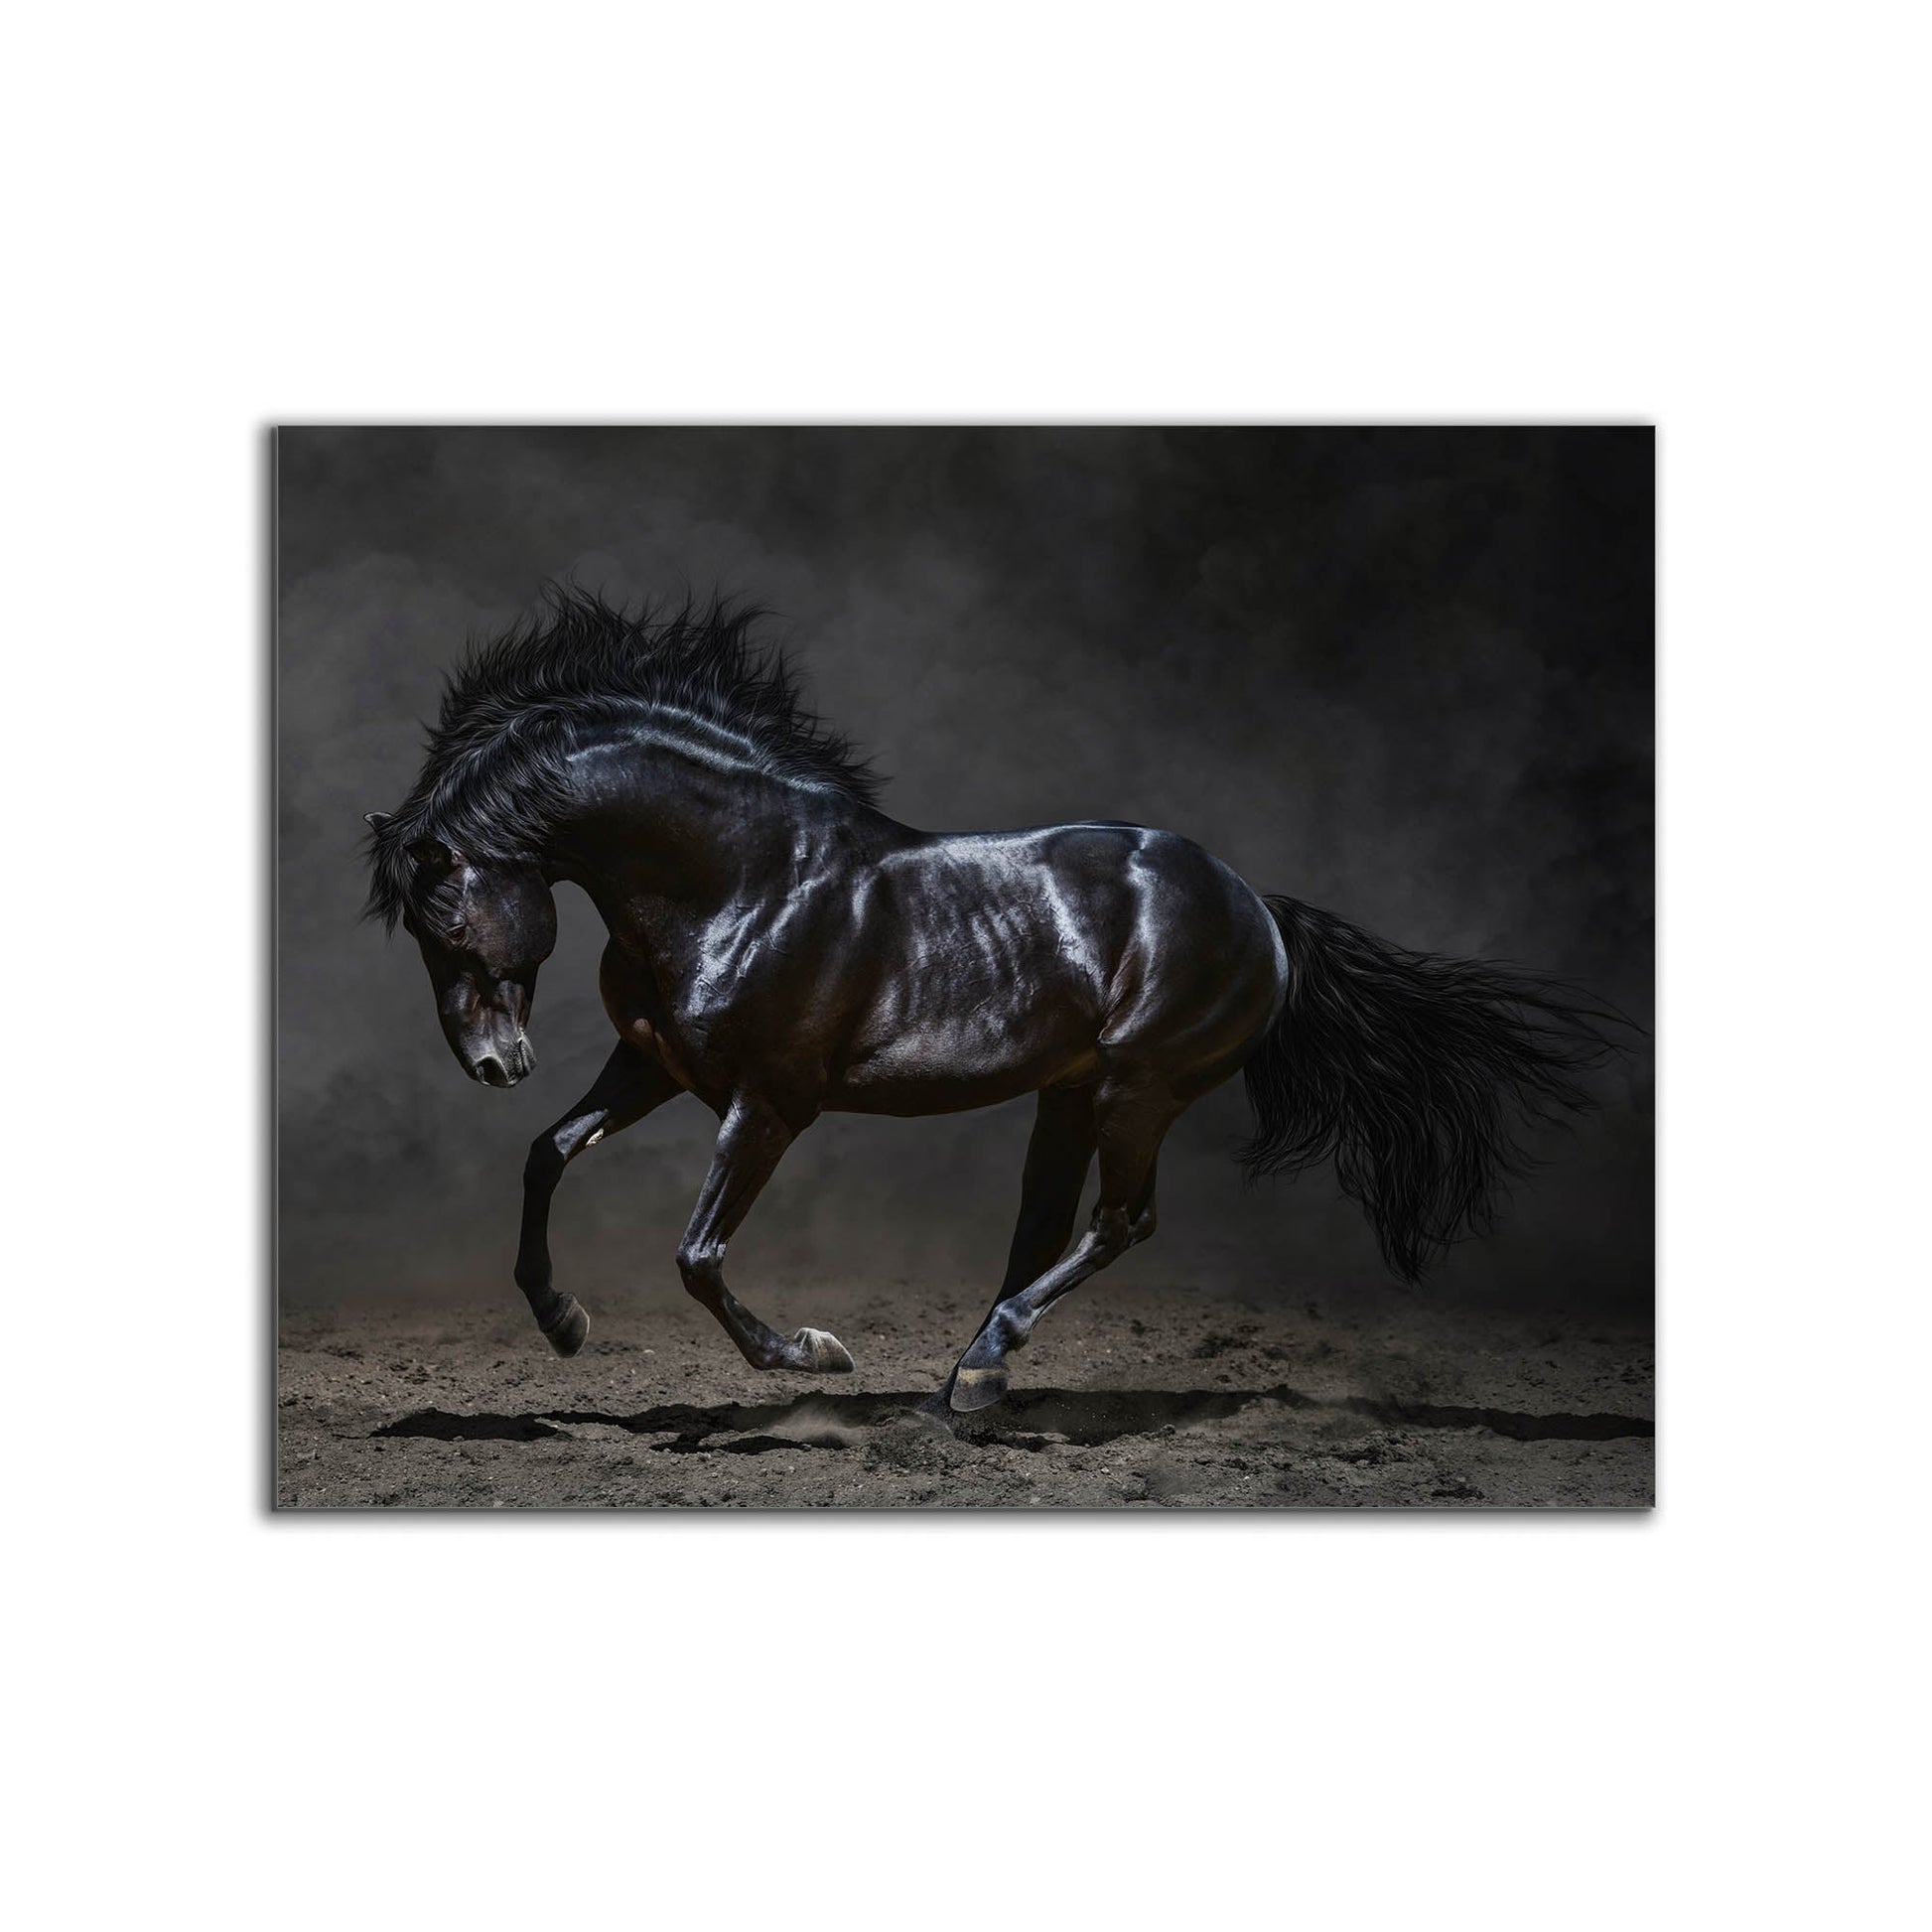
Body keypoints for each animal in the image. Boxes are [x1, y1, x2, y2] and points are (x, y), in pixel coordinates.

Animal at [363, 588, 1619, 1412]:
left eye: (446, 919)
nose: (492, 1063)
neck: (743, 877)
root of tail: (1256, 907)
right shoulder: (656, 1065)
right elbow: (547, 1152)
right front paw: (562, 1321)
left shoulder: (768, 1101)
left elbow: (698, 1253)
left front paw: (813, 1353)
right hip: (1068, 1093)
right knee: (1043, 1227)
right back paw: (967, 1378)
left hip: (1136, 1087)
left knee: (1119, 1221)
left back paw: (977, 1368)